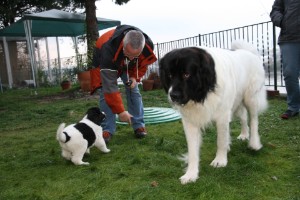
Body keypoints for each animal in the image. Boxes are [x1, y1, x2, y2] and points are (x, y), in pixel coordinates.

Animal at [158, 40, 268, 184]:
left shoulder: (222, 116)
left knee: (254, 119)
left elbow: (221, 140)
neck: (203, 91)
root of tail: (248, 51)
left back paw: (254, 143)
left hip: (250, 97)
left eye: (186, 74)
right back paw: (244, 134)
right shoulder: (190, 122)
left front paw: (220, 160)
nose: (173, 96)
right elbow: (192, 150)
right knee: (243, 117)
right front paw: (191, 174)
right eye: (169, 75)